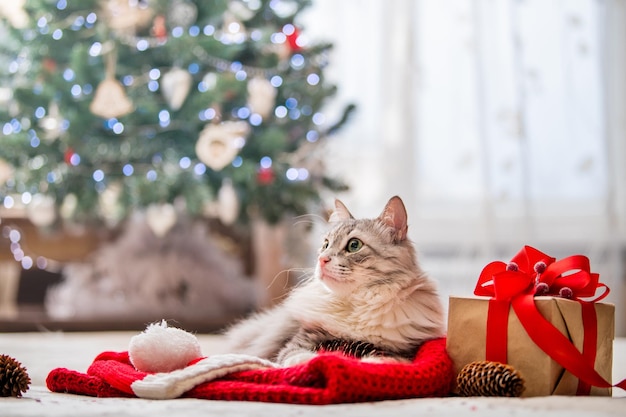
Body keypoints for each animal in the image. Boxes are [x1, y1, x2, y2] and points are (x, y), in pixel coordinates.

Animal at [222, 195, 442, 364]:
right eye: (326, 244)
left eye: (354, 245)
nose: (322, 259)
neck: (356, 305)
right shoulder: (301, 339)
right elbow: (295, 355)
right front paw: (315, 360)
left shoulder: (403, 350)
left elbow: (383, 356)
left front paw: (371, 362)